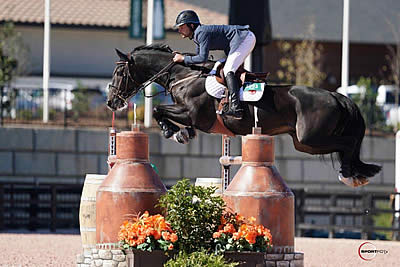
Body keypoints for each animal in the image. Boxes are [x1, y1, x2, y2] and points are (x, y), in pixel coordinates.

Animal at [106, 43, 382, 188]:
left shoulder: (194, 114)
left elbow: (158, 110)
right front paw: (181, 133)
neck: (183, 75)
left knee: (347, 143)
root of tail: (336, 95)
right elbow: (162, 112)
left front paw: (173, 132)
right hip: (305, 144)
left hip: (311, 138)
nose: (111, 102)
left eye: (119, 74)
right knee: (346, 145)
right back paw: (357, 173)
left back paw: (349, 174)